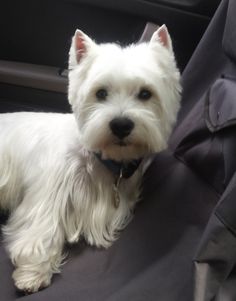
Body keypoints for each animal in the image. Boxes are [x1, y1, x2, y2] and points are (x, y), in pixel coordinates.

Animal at [0, 24, 181, 292]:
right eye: (101, 93)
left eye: (145, 94)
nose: (121, 125)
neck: (103, 160)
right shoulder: (48, 195)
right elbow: (41, 230)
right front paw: (32, 275)